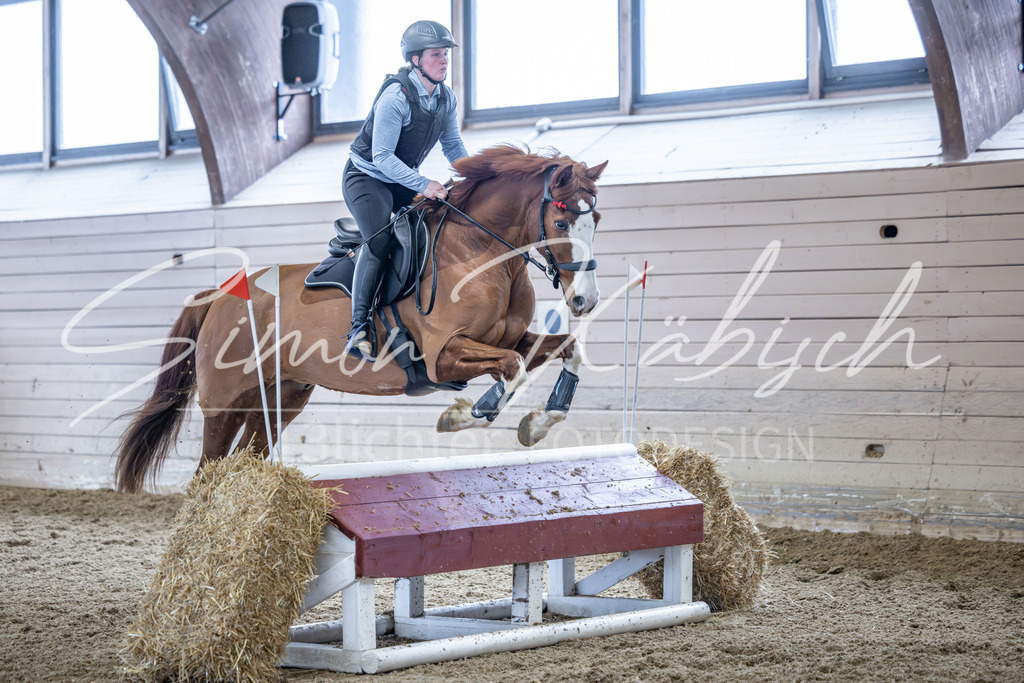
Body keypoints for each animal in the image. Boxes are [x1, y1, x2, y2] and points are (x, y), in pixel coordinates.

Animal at [113, 145, 608, 493]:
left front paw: (537, 424)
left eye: (597, 219)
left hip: (279, 399)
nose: (586, 300)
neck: (481, 254)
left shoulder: (511, 338)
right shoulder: (442, 357)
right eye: (561, 225)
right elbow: (512, 369)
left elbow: (566, 351)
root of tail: (217, 297)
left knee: (246, 457)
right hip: (224, 403)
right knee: (206, 471)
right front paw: (463, 416)